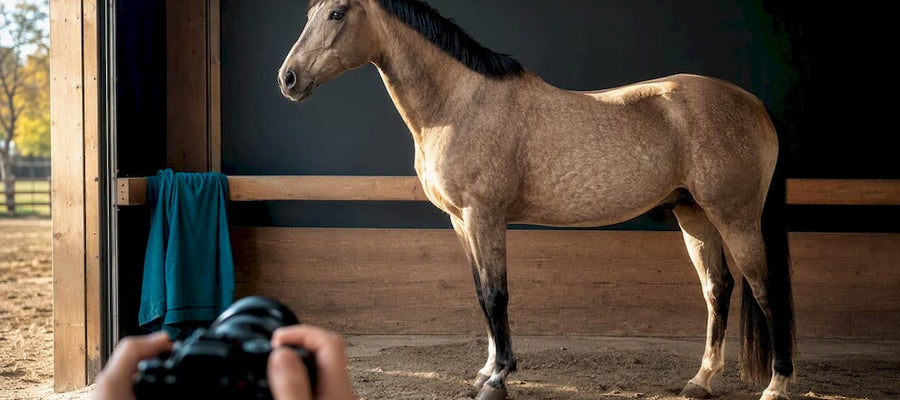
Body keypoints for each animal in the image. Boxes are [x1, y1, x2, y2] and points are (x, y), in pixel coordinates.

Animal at [277, 1, 795, 399]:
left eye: (337, 13)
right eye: (310, 12)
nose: (288, 78)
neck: (459, 103)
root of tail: (753, 103)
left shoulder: (484, 215)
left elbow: (497, 293)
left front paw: (498, 379)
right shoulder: (461, 222)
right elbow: (481, 294)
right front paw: (486, 371)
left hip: (735, 216)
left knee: (765, 288)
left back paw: (776, 385)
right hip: (694, 213)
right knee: (718, 288)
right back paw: (700, 381)